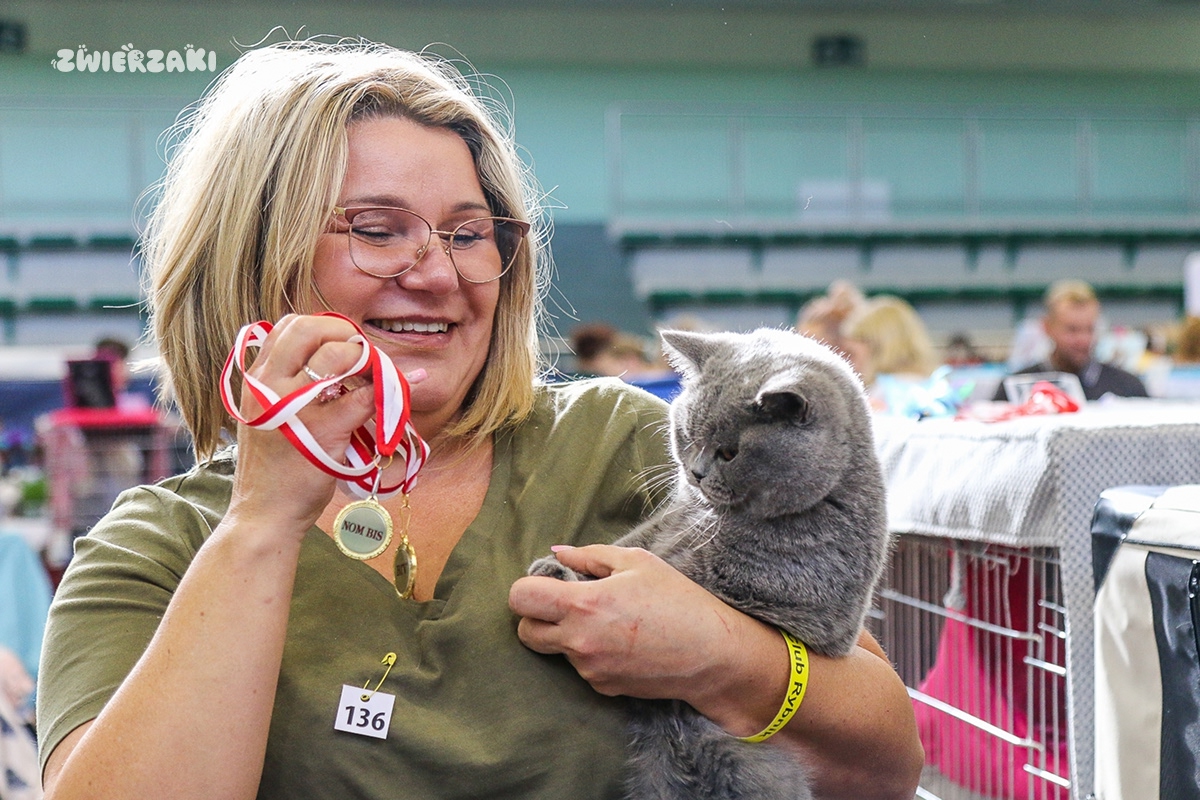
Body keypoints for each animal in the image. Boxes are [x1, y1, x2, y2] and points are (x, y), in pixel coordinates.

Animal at [529, 327, 890, 800]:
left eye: (730, 452)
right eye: (686, 434)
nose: (697, 473)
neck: (713, 518)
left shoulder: (761, 588)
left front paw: (561, 577)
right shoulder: (665, 524)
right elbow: (633, 545)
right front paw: (555, 567)